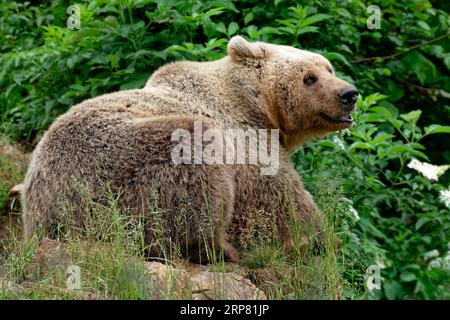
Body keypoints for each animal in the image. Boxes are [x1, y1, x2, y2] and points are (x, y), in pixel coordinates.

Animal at [22, 36, 358, 264]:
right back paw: (220, 248)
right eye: (309, 77)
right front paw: (321, 240)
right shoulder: (245, 140)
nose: (349, 94)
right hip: (113, 168)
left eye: (329, 67)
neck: (256, 105)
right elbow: (280, 197)